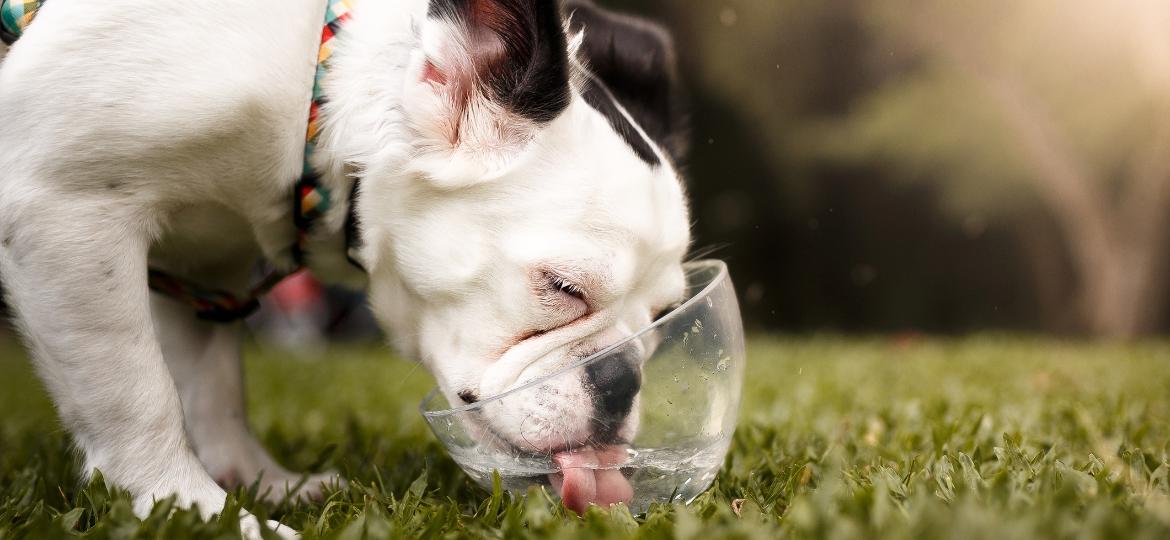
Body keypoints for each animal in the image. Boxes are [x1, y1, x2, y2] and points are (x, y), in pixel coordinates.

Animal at [0, 0, 687, 532]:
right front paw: (191, 508)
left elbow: (213, 383)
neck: (317, 99)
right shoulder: (66, 211)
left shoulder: (205, 268)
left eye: (662, 317)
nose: (622, 379)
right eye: (562, 288)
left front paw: (247, 482)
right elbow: (138, 399)